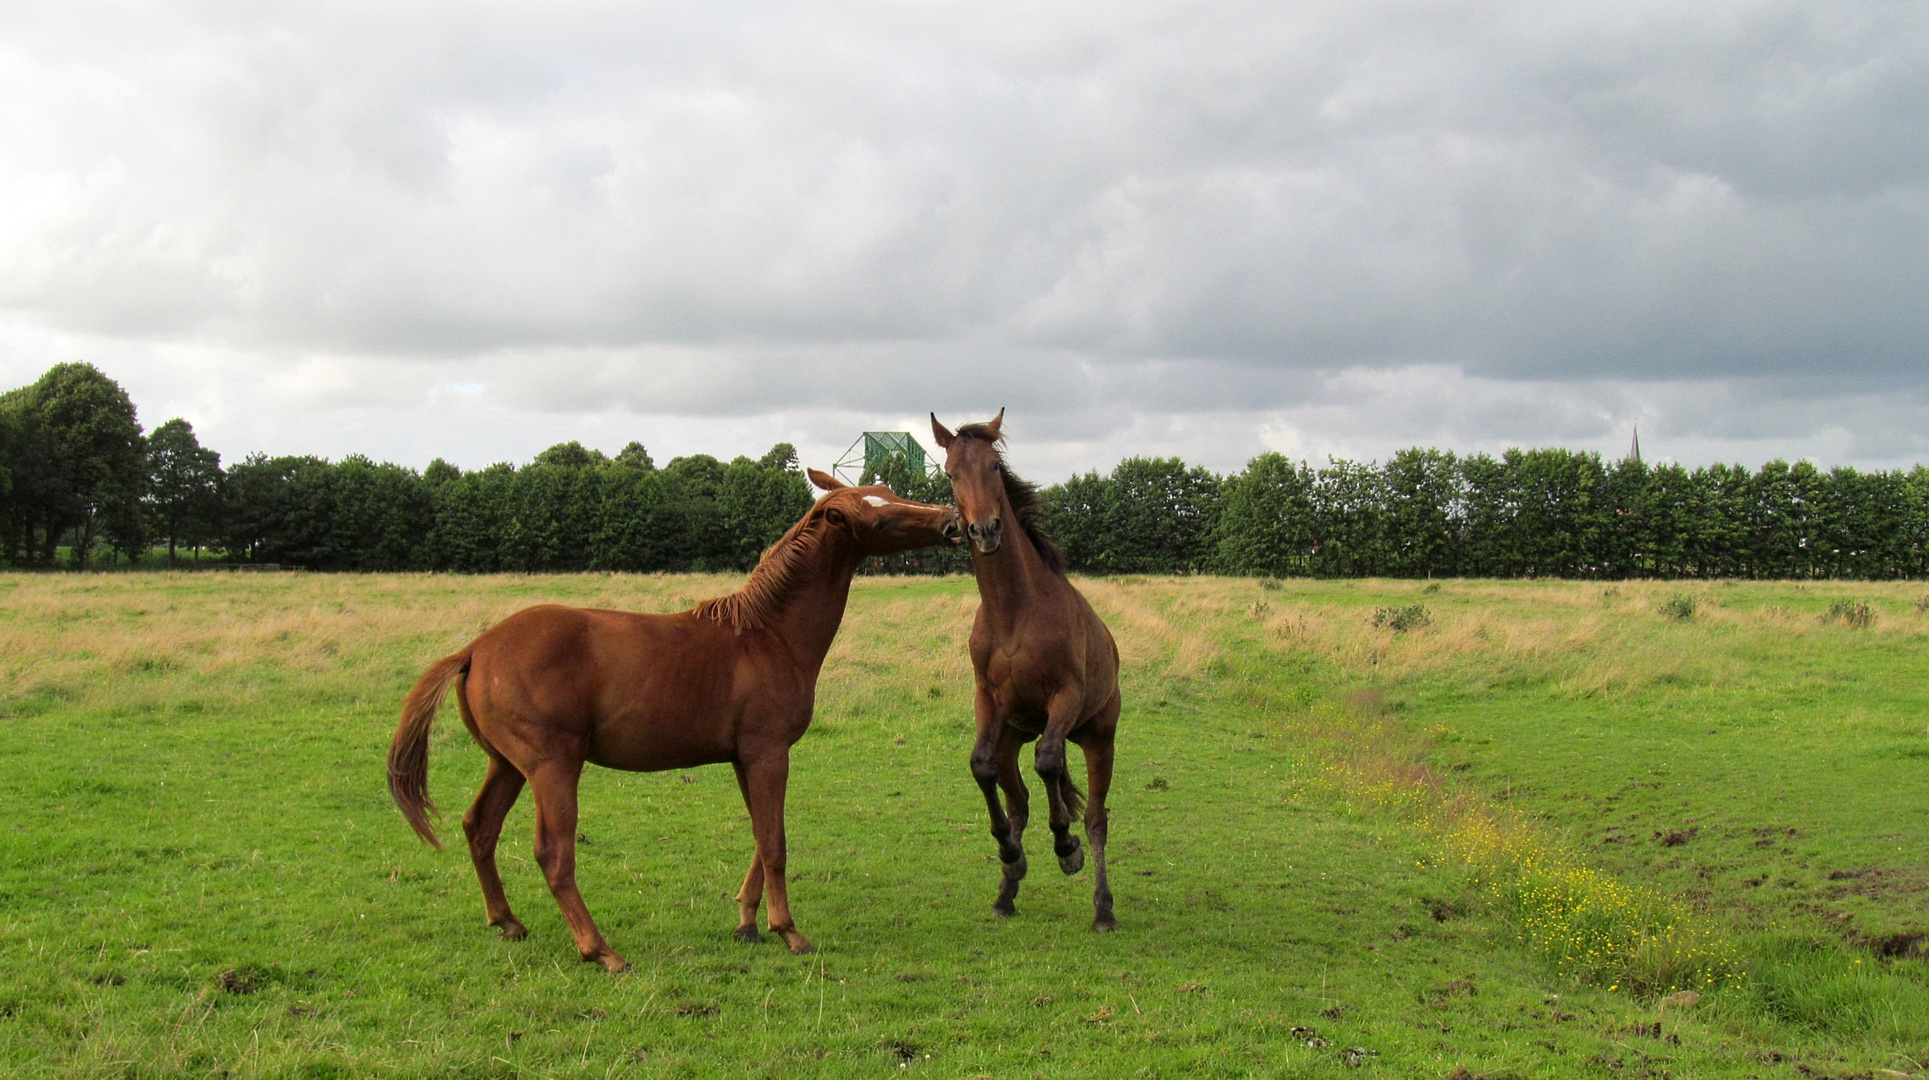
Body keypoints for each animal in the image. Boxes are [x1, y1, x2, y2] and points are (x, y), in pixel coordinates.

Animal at [387, 472, 960, 972]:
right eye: (879, 516)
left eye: (889, 490)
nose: (952, 521)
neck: (767, 636)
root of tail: (475, 649)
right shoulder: (768, 752)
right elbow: (775, 843)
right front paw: (788, 931)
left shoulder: (744, 758)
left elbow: (760, 835)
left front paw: (747, 923)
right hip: (552, 766)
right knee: (553, 854)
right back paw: (601, 951)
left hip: (507, 765)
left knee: (479, 828)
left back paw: (508, 922)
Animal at [925, 408, 1126, 933]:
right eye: (950, 473)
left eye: (995, 466)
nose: (985, 530)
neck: (1015, 614)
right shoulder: (987, 700)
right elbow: (980, 766)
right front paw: (1011, 855)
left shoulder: (1065, 696)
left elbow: (1050, 761)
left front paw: (1066, 848)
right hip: (1010, 734)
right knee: (1018, 801)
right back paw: (1007, 887)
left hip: (1099, 736)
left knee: (1095, 816)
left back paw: (1102, 906)